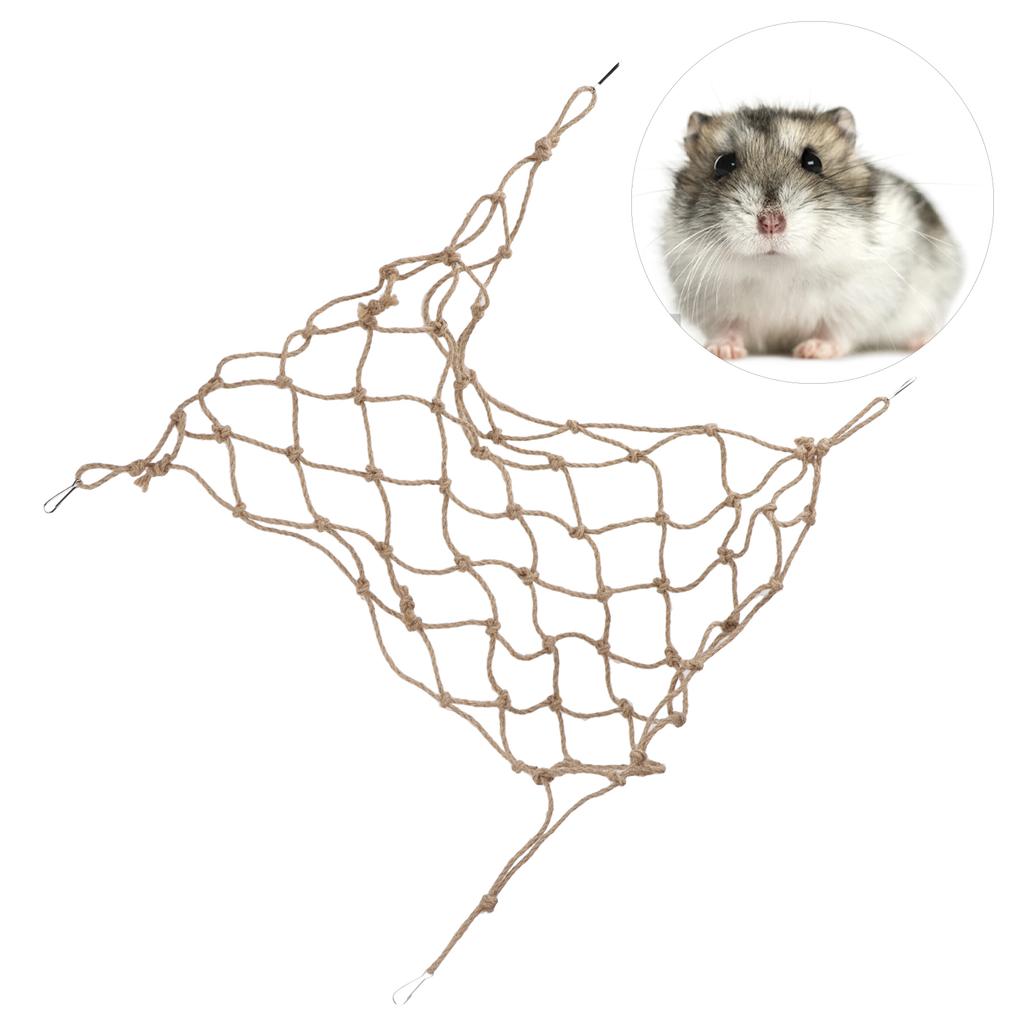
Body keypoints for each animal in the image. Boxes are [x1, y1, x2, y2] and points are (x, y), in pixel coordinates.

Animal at [662, 105, 963, 359]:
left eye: (813, 162)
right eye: (723, 164)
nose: (771, 223)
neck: (777, 269)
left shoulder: (858, 303)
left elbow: (836, 330)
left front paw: (811, 351)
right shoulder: (713, 305)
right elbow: (728, 328)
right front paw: (723, 350)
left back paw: (920, 341)